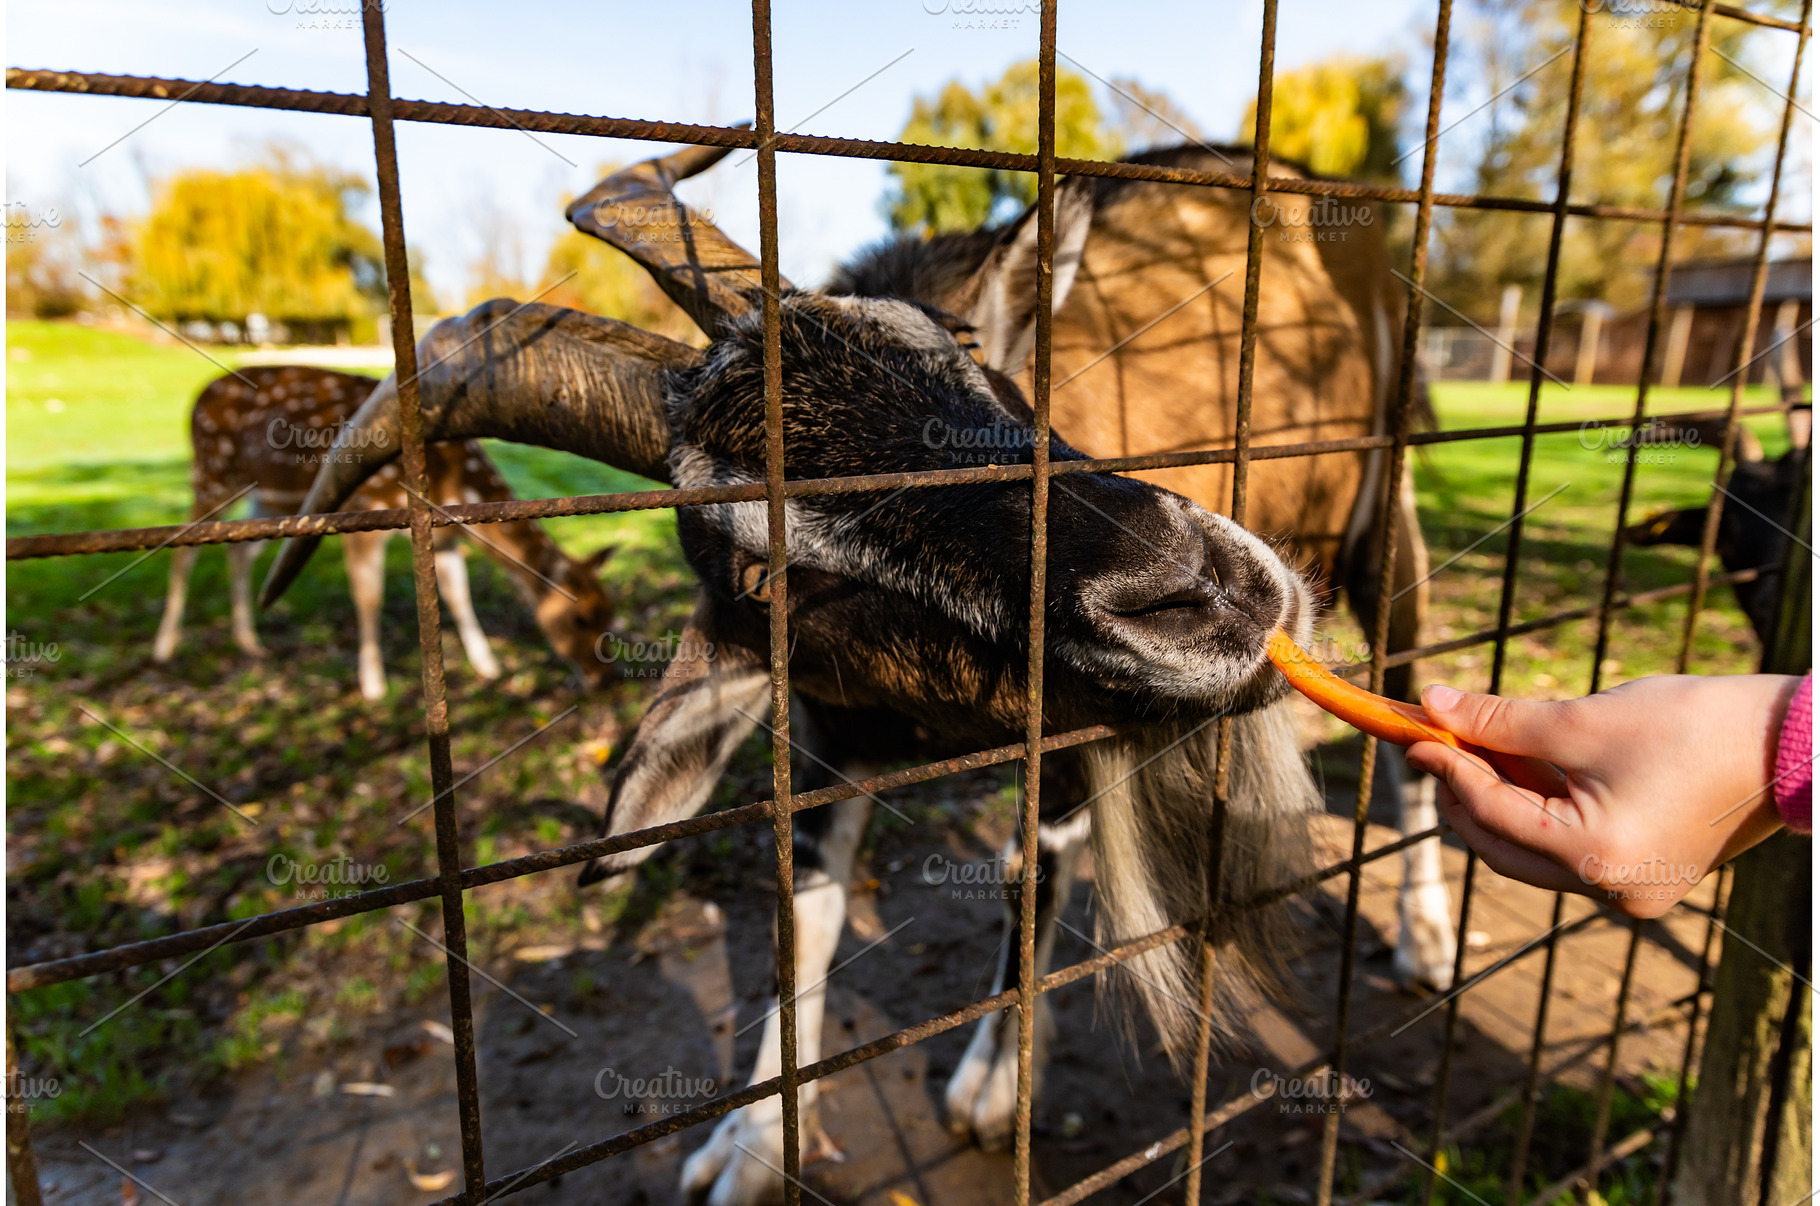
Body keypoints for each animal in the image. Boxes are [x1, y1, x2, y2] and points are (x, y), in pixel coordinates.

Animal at [155, 366, 617, 700]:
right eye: (579, 618)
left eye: (610, 615)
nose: (600, 679)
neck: (453, 484)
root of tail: (195, 400)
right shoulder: (364, 514)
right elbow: (370, 598)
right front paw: (374, 685)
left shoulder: (444, 537)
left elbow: (458, 594)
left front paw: (488, 665)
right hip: (212, 473)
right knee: (183, 546)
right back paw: (165, 646)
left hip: (267, 500)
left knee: (239, 553)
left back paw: (249, 641)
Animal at [261, 141, 1443, 1205]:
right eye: (768, 574)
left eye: (962, 352)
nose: (1205, 591)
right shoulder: (827, 727)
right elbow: (805, 908)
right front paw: (749, 1147)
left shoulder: (1072, 724)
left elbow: (1028, 865)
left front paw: (991, 1088)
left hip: (1382, 512)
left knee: (1413, 685)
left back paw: (1429, 939)